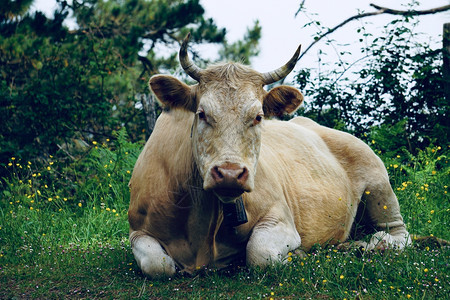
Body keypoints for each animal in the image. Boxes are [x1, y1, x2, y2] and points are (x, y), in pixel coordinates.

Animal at [127, 34, 412, 278]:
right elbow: (157, 264)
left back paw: (373, 245)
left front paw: (298, 255)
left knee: (399, 233)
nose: (230, 174)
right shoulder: (136, 230)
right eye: (202, 113)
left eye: (258, 116)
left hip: (379, 185)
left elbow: (259, 253)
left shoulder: (280, 217)